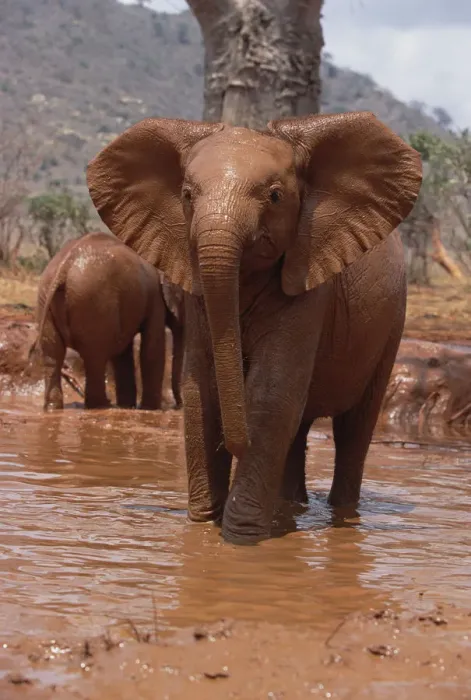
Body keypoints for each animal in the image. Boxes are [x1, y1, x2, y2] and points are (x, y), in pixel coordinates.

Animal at [31, 231, 184, 411]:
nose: (178, 406)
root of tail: (65, 267)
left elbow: (124, 352)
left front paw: (128, 406)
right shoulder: (156, 297)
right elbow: (152, 348)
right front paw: (150, 409)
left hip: (46, 298)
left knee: (53, 356)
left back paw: (53, 407)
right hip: (94, 300)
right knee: (95, 356)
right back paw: (103, 405)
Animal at [86, 111, 422, 544]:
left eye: (275, 196)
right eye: (187, 195)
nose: (237, 444)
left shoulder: (309, 276)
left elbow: (270, 394)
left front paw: (241, 539)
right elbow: (202, 394)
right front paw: (202, 530)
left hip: (391, 325)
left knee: (353, 430)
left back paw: (340, 516)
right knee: (300, 430)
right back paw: (290, 507)